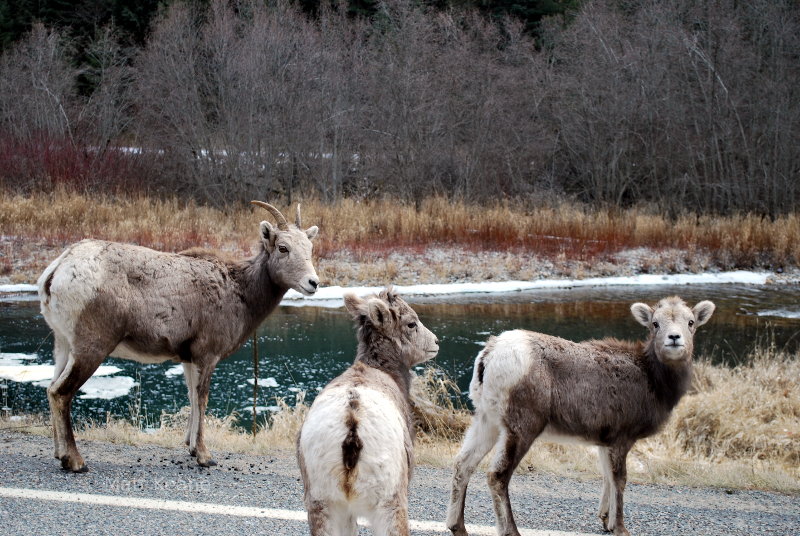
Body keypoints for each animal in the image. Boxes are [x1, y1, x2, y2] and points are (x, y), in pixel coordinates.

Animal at [37, 202, 318, 474]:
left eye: (310, 248)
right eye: (283, 247)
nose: (313, 283)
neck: (241, 292)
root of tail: (55, 273)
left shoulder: (188, 358)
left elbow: (192, 398)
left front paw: (191, 448)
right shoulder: (207, 355)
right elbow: (202, 398)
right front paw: (204, 457)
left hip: (63, 345)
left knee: (51, 388)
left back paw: (59, 454)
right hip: (92, 347)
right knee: (61, 392)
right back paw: (75, 462)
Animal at [446, 298, 716, 536]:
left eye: (690, 322)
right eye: (655, 323)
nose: (674, 338)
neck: (654, 380)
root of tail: (489, 355)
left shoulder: (604, 442)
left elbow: (606, 477)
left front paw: (606, 521)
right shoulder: (622, 439)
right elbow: (620, 481)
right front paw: (620, 528)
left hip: (487, 421)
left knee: (463, 464)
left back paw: (458, 527)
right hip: (522, 427)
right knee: (497, 475)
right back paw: (511, 531)